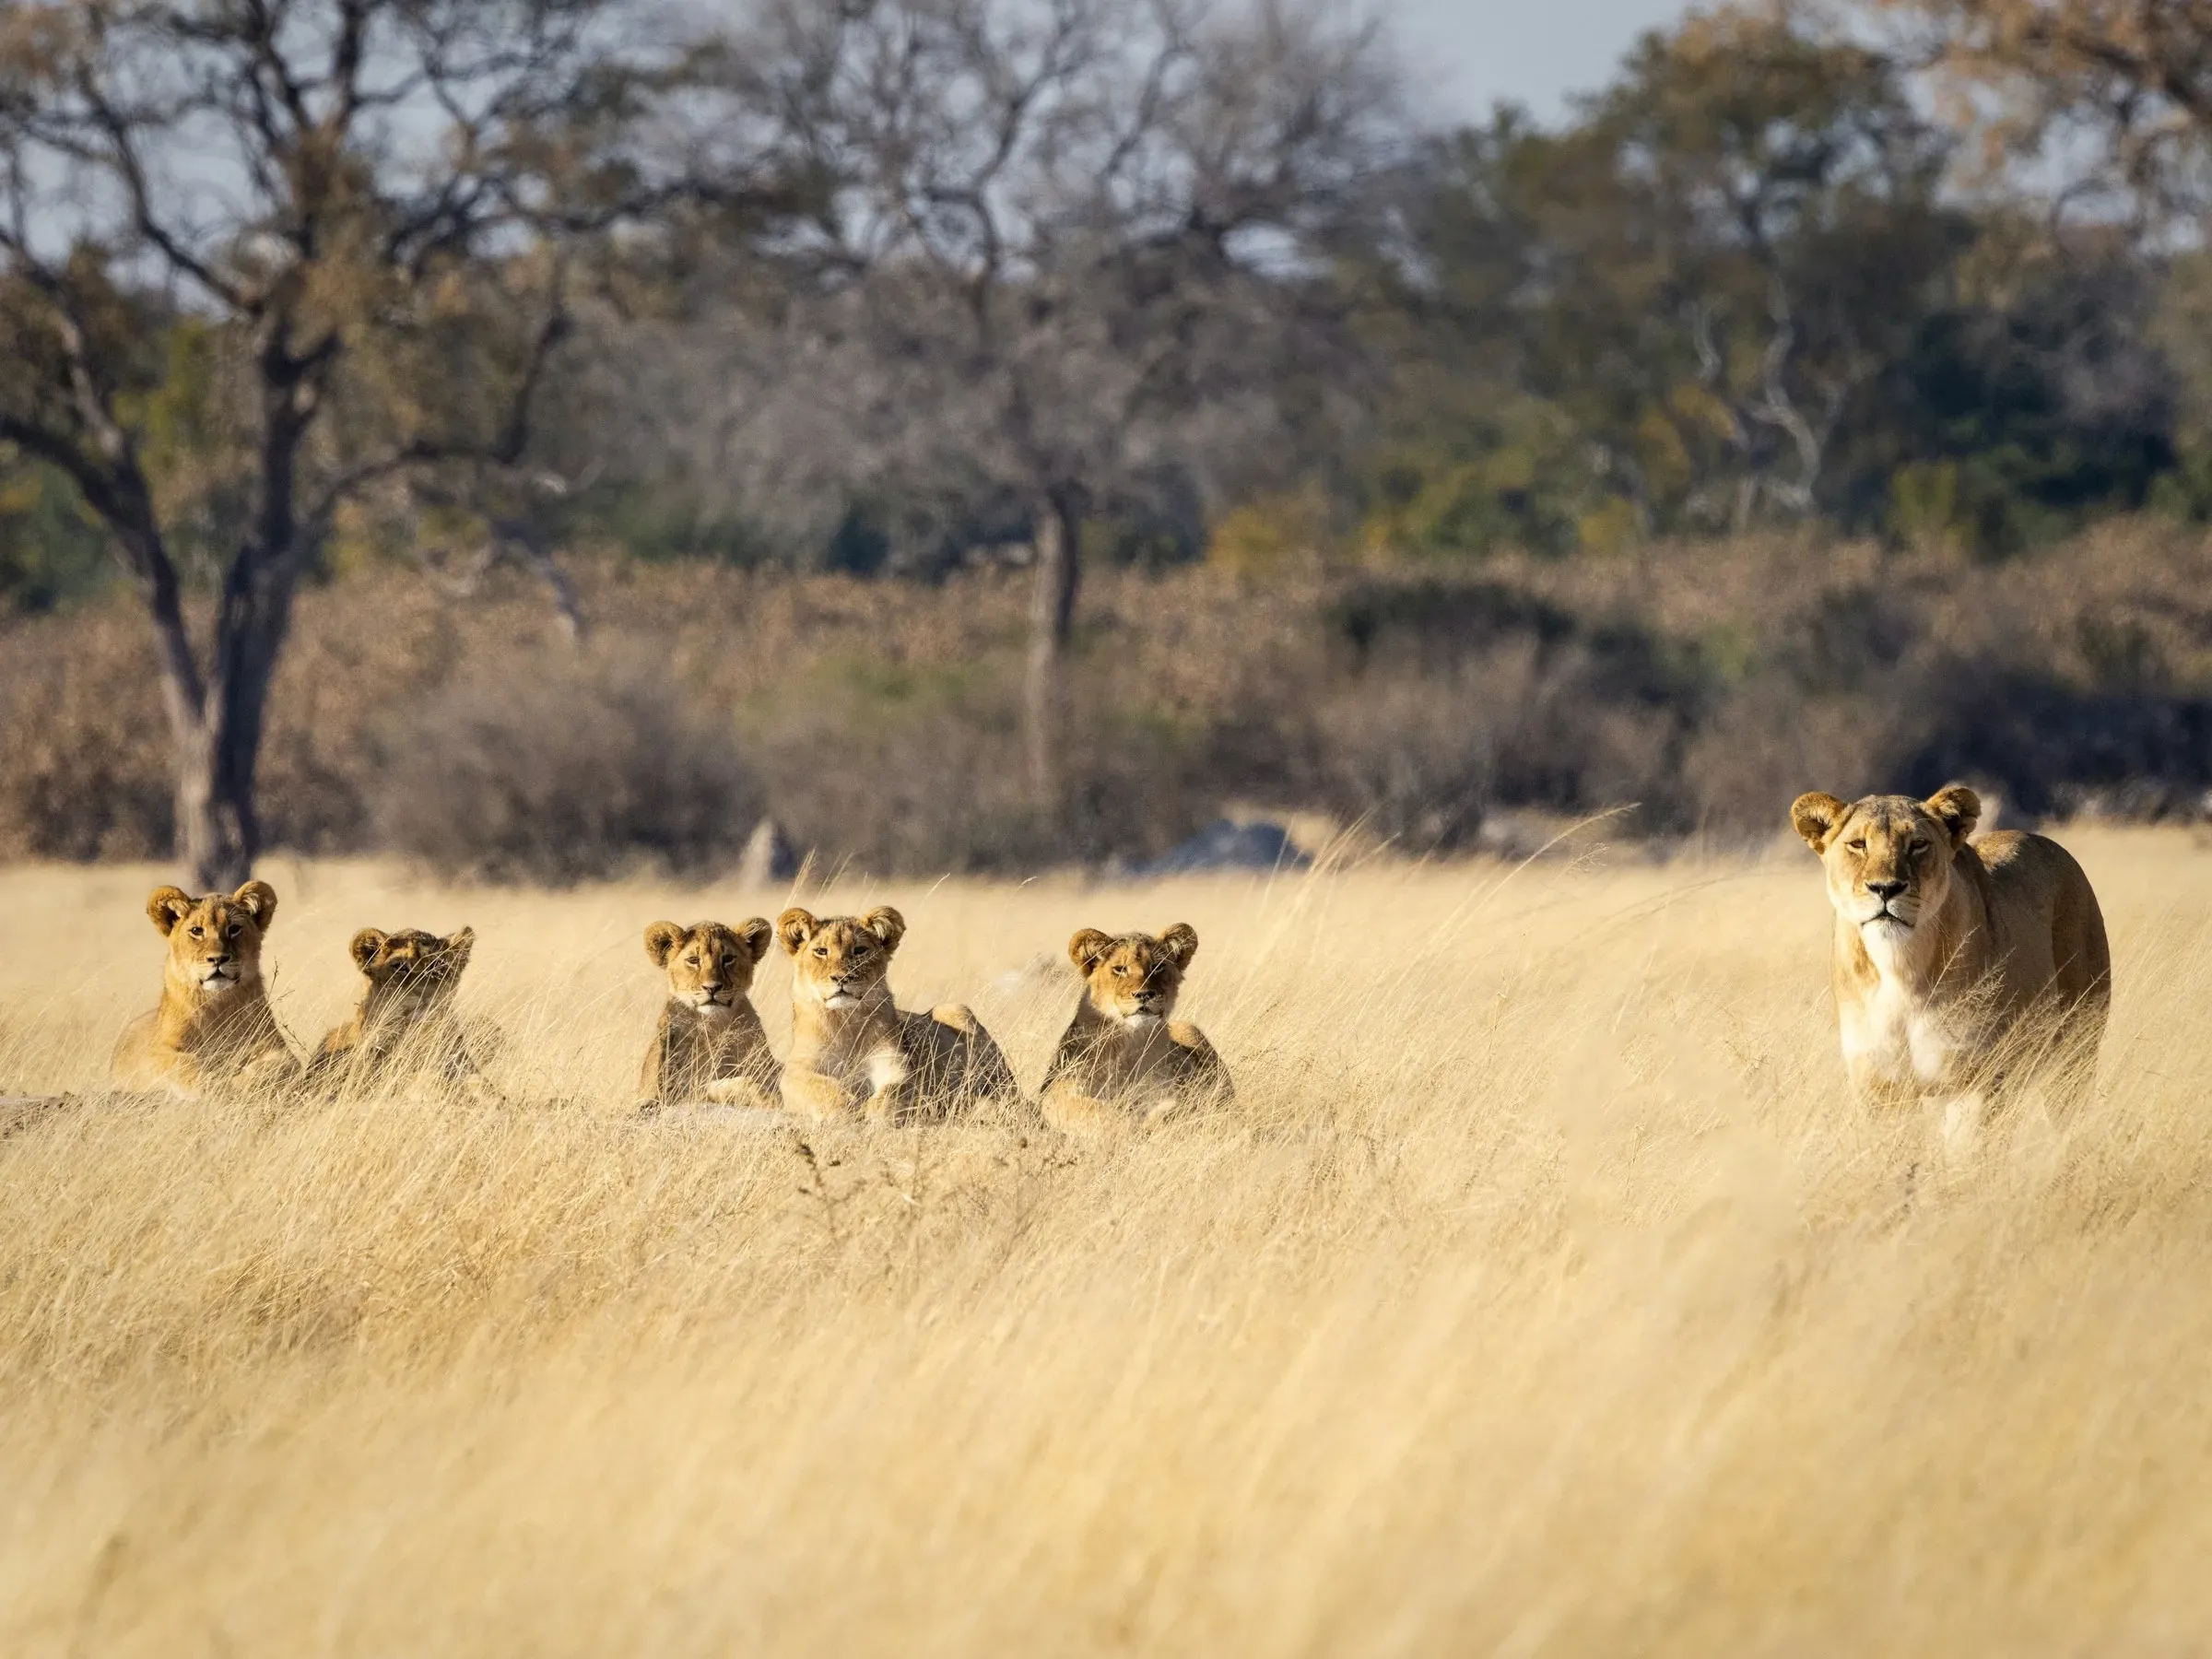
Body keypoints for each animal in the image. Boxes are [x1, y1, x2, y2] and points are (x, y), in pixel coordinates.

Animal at [112, 881, 302, 1096]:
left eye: (234, 929)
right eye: (196, 930)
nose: (218, 959)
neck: (217, 1003)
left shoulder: (276, 1047)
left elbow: (275, 1066)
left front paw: (240, 1083)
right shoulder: (160, 1049)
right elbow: (183, 1064)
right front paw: (212, 1085)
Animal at [776, 905, 1019, 1124]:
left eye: (860, 950)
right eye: (821, 951)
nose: (842, 978)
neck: (847, 1022)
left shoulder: (897, 1066)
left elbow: (893, 1090)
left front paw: (876, 1112)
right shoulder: (796, 1071)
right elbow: (819, 1087)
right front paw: (847, 1106)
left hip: (955, 1011)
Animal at [1040, 924, 1232, 1131]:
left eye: (1158, 967)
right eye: (1120, 969)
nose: (1144, 994)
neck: (1130, 1043)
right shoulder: (1057, 1088)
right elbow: (1087, 1108)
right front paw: (1128, 1124)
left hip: (1189, 1028)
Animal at [1790, 784, 2110, 1117]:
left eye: (1918, 844)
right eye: (1858, 844)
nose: (1886, 888)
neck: (1898, 968)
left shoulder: (1974, 1081)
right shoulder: (1878, 1089)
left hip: (2076, 1050)